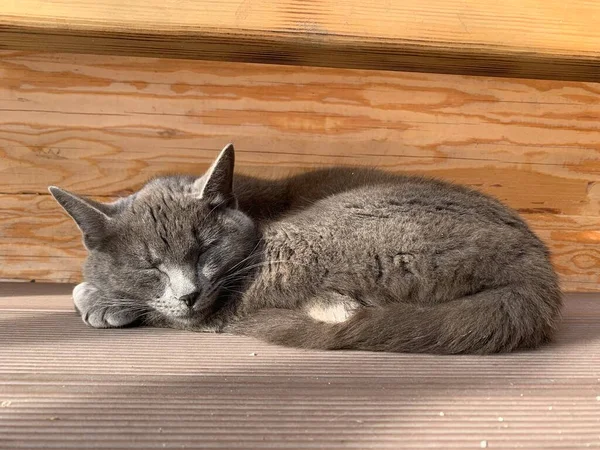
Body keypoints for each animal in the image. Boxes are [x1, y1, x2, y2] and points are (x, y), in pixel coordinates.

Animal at [50, 144, 564, 356]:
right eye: (150, 266)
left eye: (205, 249)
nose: (188, 293)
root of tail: (534, 275)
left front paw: (99, 299)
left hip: (301, 242)